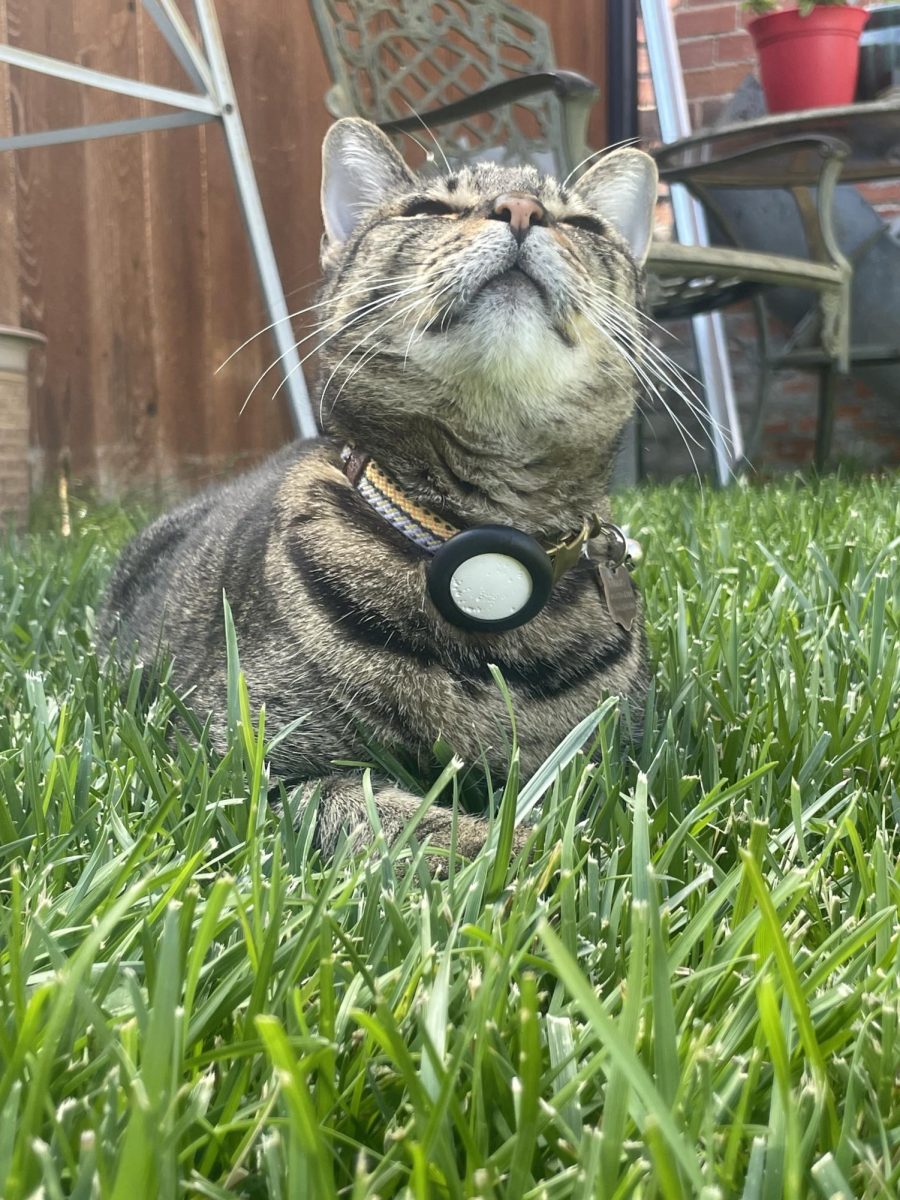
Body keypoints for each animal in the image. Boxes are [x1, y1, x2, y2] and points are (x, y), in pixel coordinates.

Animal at [102, 119, 657, 864]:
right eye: (428, 209)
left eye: (584, 224)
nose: (520, 209)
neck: (477, 539)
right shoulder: (235, 764)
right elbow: (381, 813)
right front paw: (520, 849)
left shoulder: (609, 753)